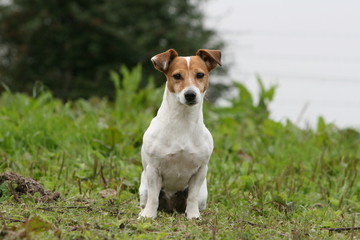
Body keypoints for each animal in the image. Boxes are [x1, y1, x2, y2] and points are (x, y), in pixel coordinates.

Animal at [139, 48, 221, 219]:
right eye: (177, 76)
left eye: (200, 74)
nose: (190, 94)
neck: (183, 122)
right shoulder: (153, 169)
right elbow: (153, 197)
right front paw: (148, 216)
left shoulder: (200, 171)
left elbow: (192, 197)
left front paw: (193, 216)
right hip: (143, 187)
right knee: (147, 199)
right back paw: (143, 211)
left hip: (203, 195)